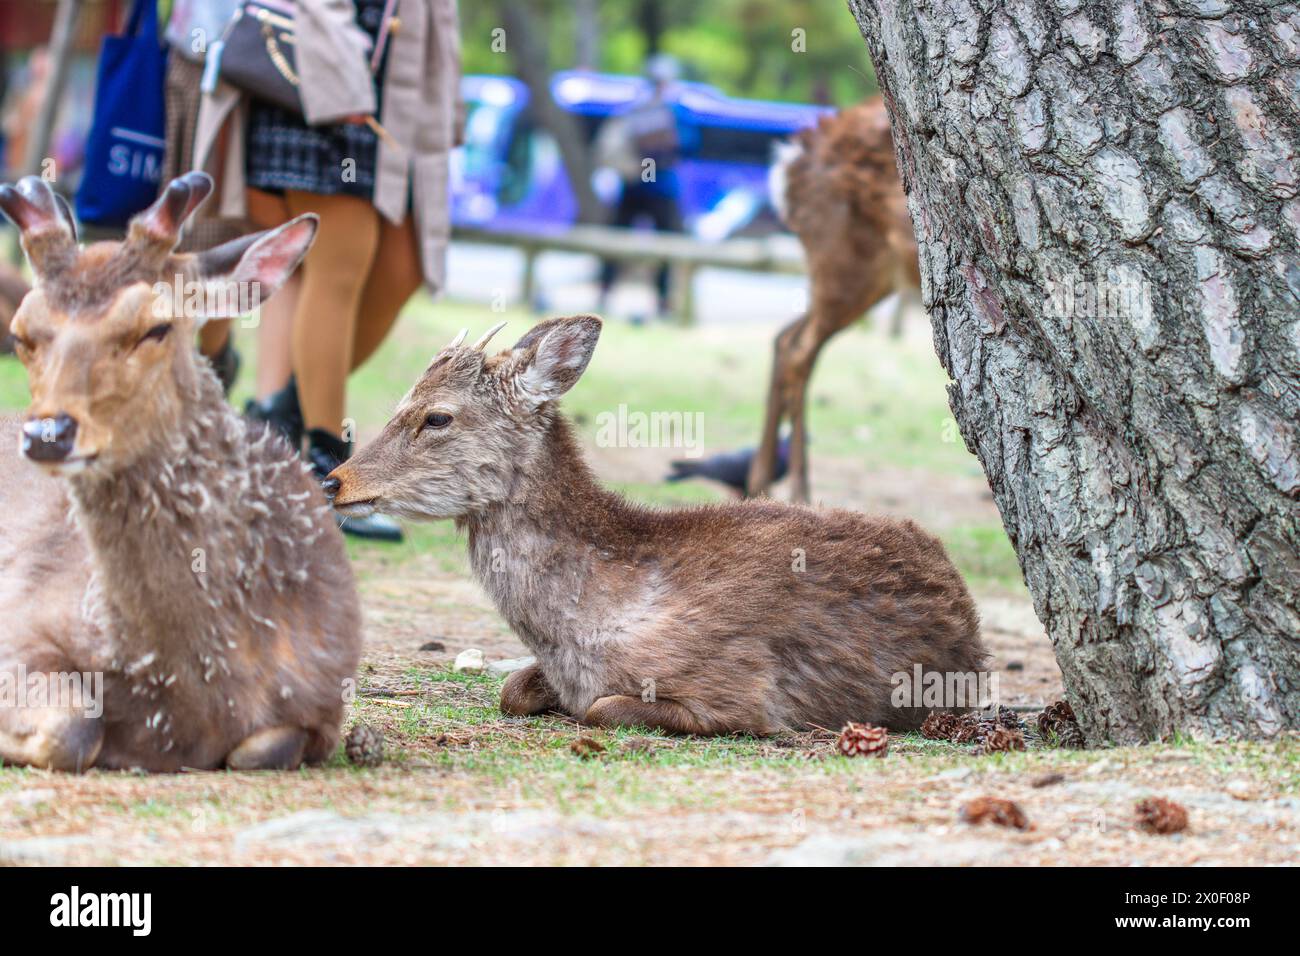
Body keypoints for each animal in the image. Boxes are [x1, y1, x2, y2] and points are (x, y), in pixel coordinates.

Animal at [0, 171, 361, 770]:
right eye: (22, 333)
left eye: (155, 327)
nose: (47, 434)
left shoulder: (323, 703)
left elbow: (263, 748)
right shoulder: (20, 622)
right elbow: (76, 725)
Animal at [748, 94, 920, 504]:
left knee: (786, 336)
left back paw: (760, 484)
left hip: (870, 274)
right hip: (842, 255)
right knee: (799, 349)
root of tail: (789, 162)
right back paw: (798, 491)